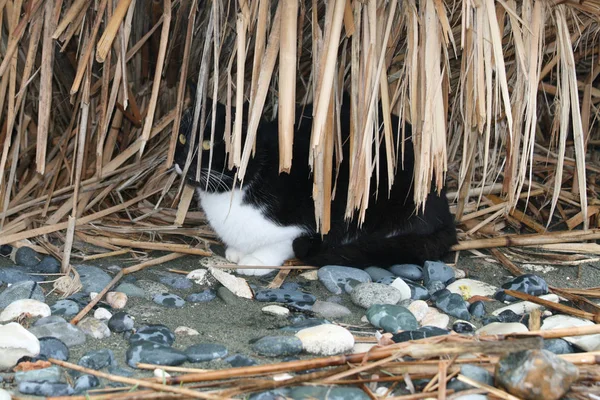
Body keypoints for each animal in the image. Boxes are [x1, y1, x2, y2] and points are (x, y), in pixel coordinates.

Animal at [176, 93, 458, 276]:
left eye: (207, 144)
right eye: (181, 138)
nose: (180, 161)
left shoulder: (312, 218)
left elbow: (283, 242)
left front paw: (255, 260)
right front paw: (236, 250)